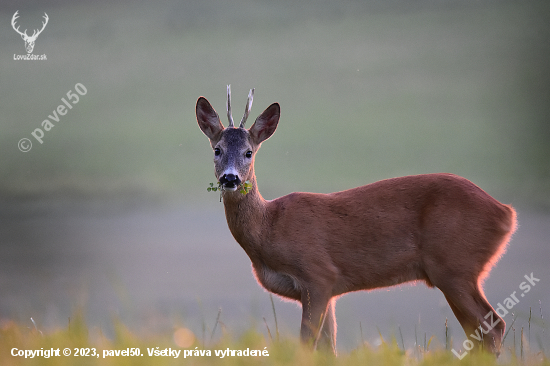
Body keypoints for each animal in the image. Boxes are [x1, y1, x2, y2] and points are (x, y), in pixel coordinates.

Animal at [196, 86, 520, 354]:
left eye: (249, 152)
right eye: (217, 150)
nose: (230, 179)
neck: (270, 228)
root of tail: (506, 212)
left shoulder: (318, 274)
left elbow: (306, 344)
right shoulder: (326, 290)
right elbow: (328, 349)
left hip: (454, 265)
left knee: (493, 326)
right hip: (455, 271)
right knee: (481, 331)